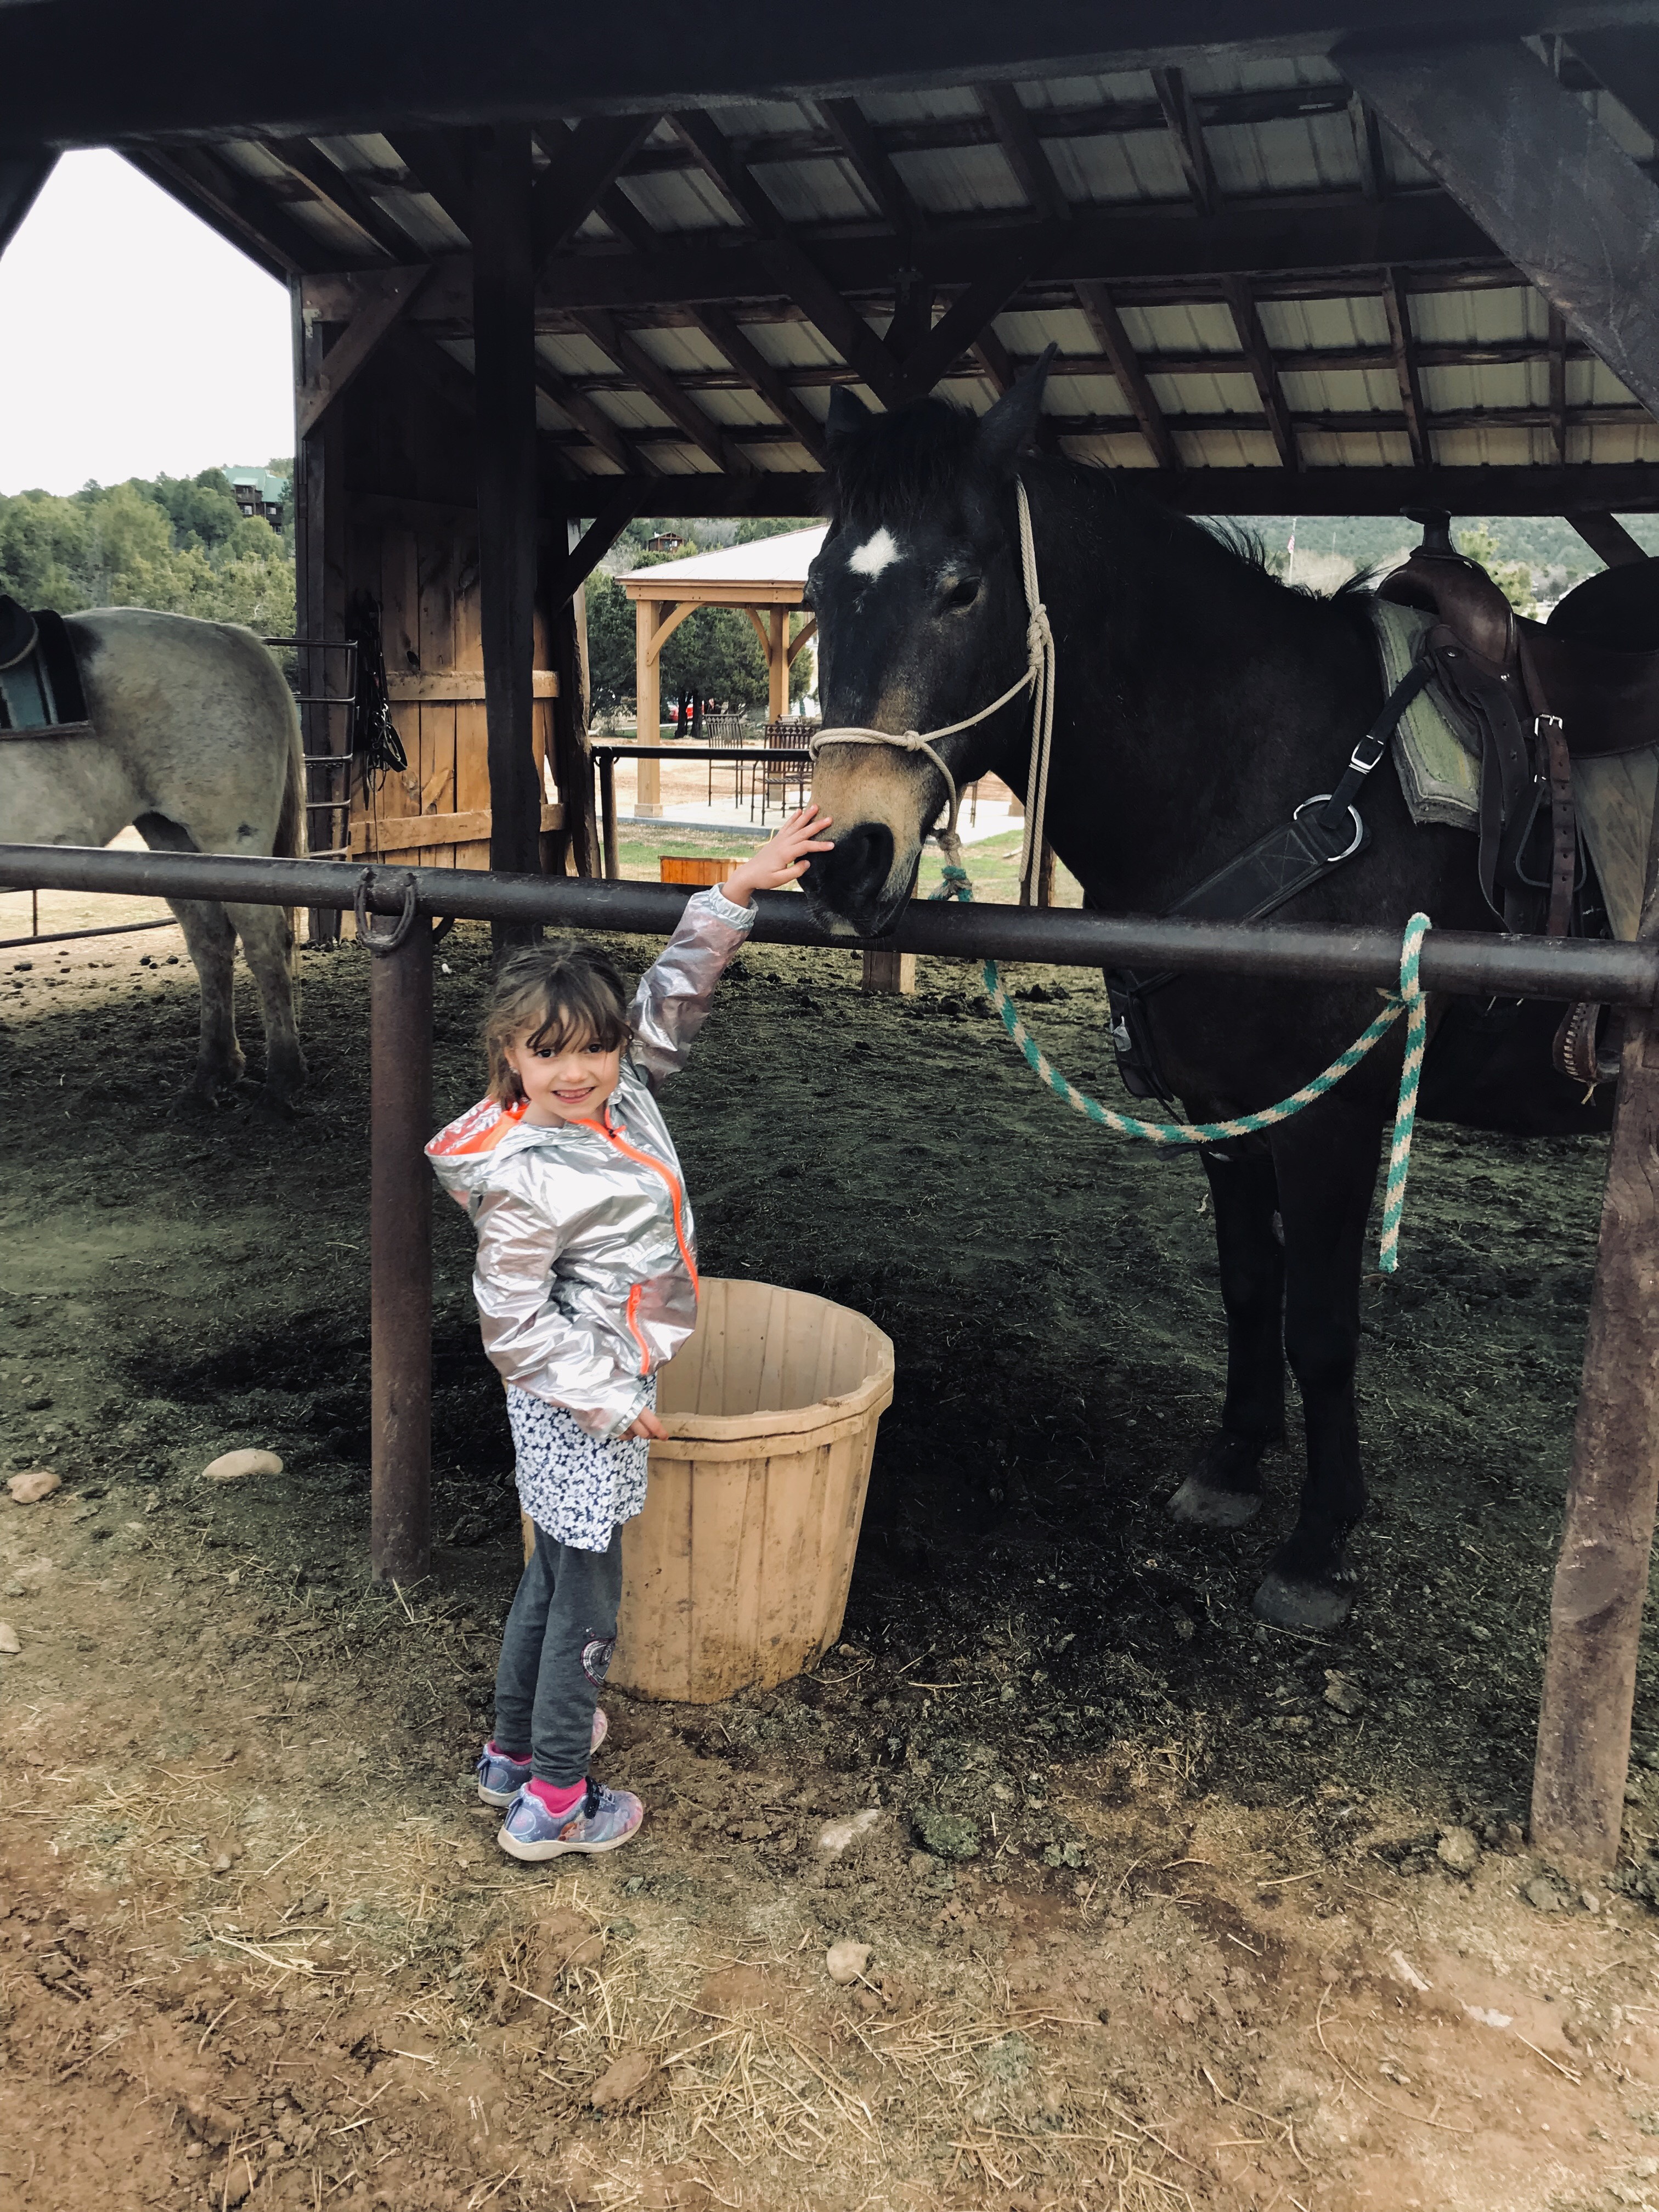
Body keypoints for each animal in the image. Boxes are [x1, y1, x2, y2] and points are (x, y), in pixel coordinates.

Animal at [3, 610, 309, 1106]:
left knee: (264, 943)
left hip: (231, 842)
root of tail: (233, 636)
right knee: (210, 941)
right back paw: (212, 1074)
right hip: (174, 840)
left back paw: (282, 1077)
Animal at [800, 367, 1610, 1628]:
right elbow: (1246, 1285)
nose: (843, 858)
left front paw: (1318, 1543)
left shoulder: (1330, 1119)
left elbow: (1320, 1325)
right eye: (815, 586)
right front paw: (1232, 1465)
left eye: (961, 587)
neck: (1279, 776)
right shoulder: (1227, 1112)